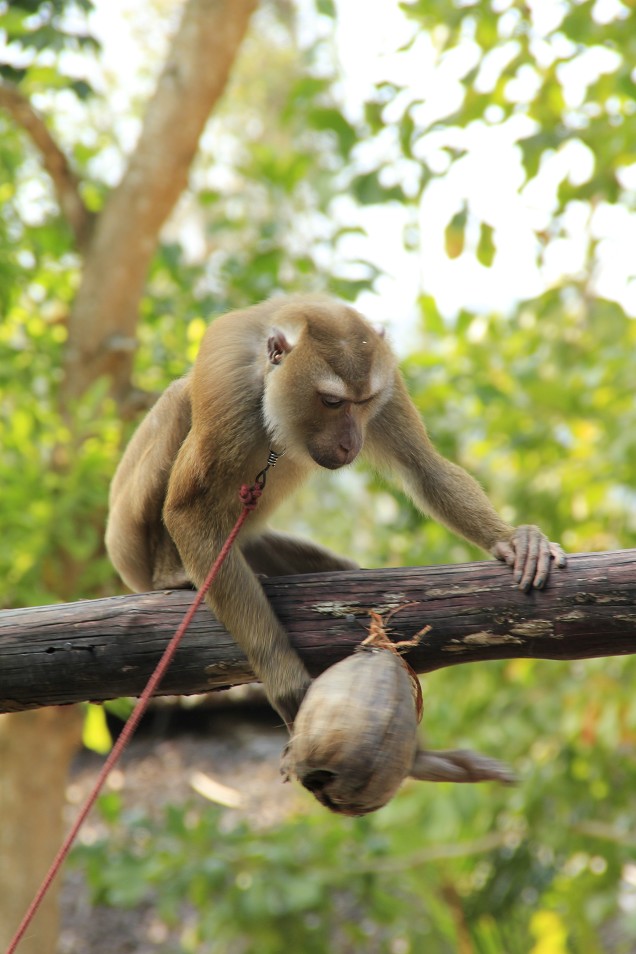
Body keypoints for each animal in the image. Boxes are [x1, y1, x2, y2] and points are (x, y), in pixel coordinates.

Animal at [105, 298, 568, 728]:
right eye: (330, 401)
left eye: (364, 401)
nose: (350, 442)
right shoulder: (228, 389)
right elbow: (188, 509)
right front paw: (283, 675)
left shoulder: (387, 383)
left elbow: (424, 470)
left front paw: (512, 540)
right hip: (127, 538)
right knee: (179, 401)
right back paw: (170, 575)